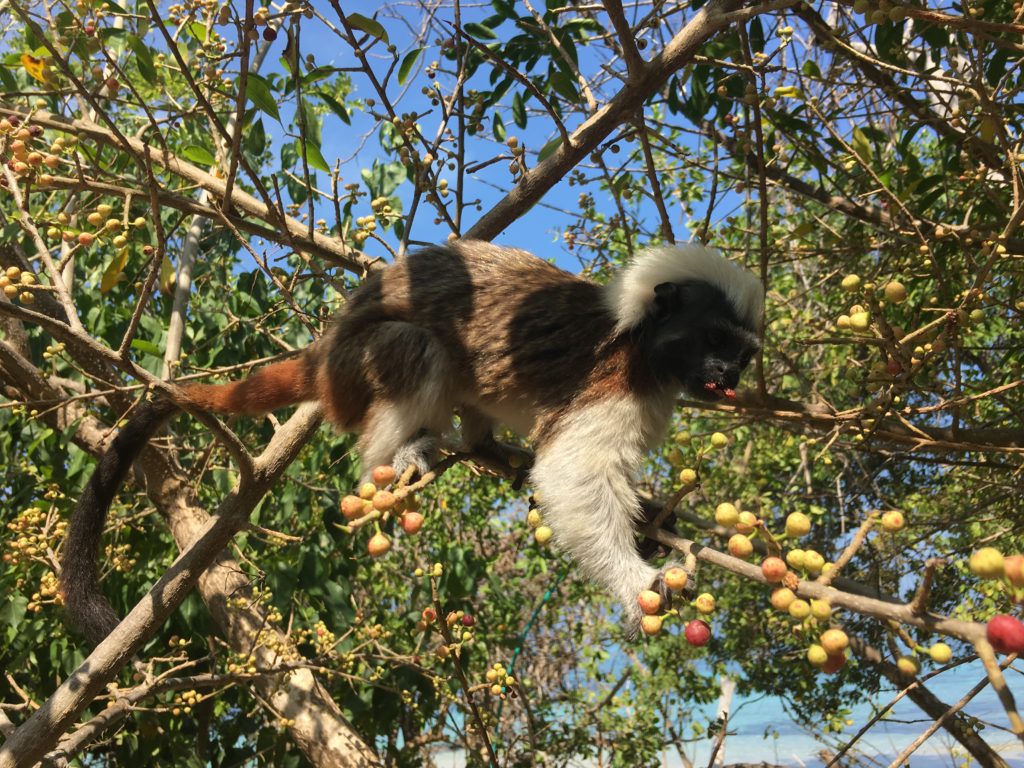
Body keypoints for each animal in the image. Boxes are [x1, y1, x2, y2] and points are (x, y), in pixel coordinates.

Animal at [61, 240, 761, 643]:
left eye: (742, 356)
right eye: (715, 341)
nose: (726, 379)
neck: (644, 341)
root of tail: (324, 354)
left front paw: (654, 520)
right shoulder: (616, 378)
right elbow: (574, 471)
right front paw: (636, 578)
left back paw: (485, 447)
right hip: (356, 372)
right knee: (416, 348)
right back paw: (399, 456)